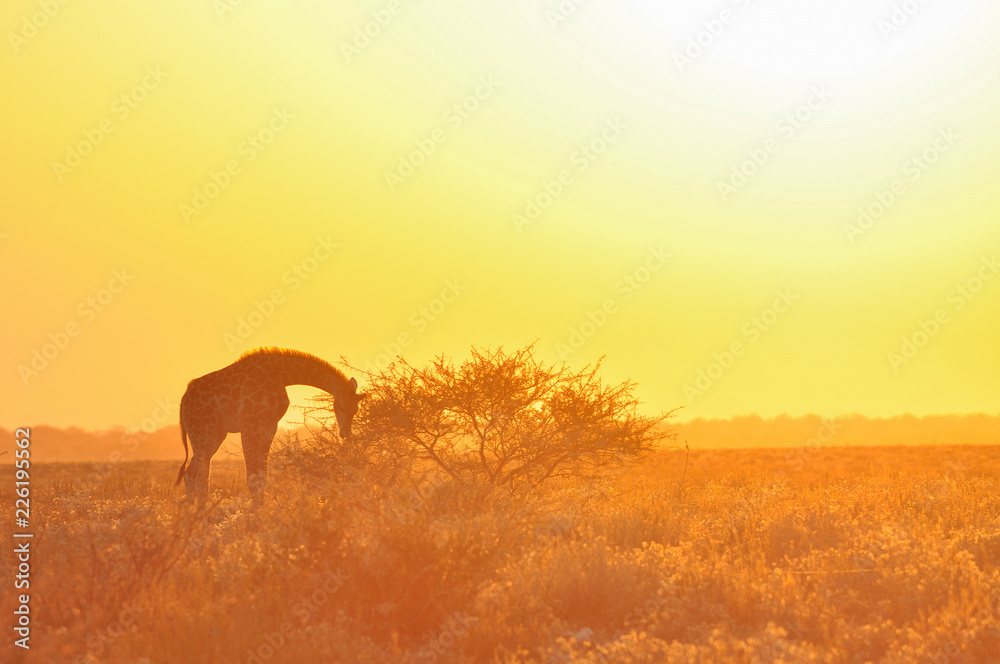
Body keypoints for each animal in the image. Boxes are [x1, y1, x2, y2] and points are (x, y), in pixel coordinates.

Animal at [174, 347, 365, 505]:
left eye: (356, 410)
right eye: (341, 407)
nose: (345, 433)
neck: (281, 376)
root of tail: (183, 400)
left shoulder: (269, 426)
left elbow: (262, 479)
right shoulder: (248, 425)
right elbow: (252, 479)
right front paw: (254, 523)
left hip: (216, 435)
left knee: (190, 473)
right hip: (204, 432)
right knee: (201, 479)